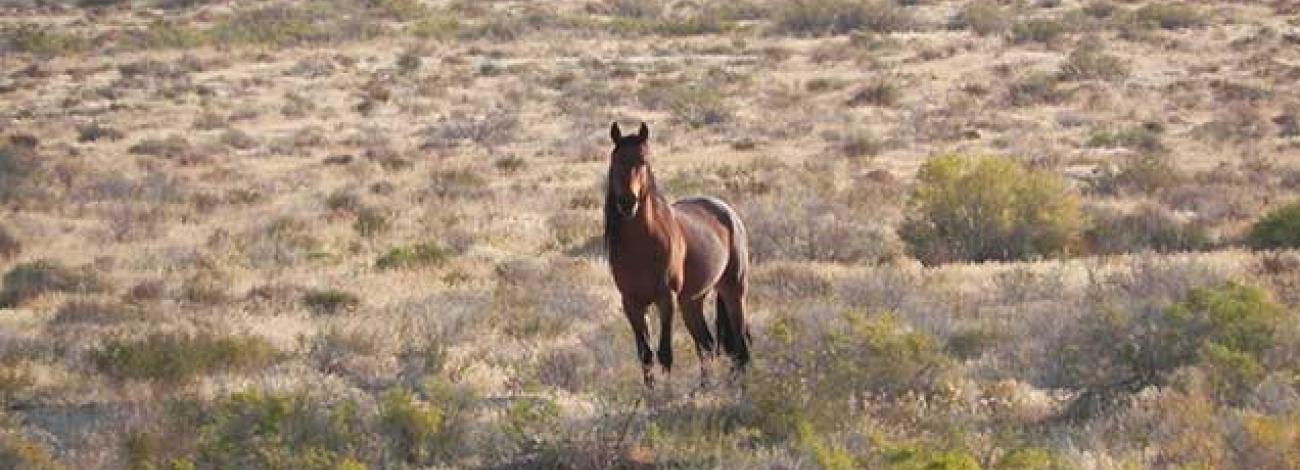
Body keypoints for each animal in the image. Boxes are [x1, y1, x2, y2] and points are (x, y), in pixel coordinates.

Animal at [604, 122, 751, 389]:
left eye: (643, 161)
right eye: (615, 160)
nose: (627, 202)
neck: (641, 246)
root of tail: (727, 211)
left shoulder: (666, 299)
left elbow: (665, 354)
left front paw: (667, 393)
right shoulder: (631, 303)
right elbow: (645, 354)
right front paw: (651, 395)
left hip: (734, 290)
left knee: (740, 348)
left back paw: (739, 390)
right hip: (692, 301)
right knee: (706, 345)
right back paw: (703, 389)